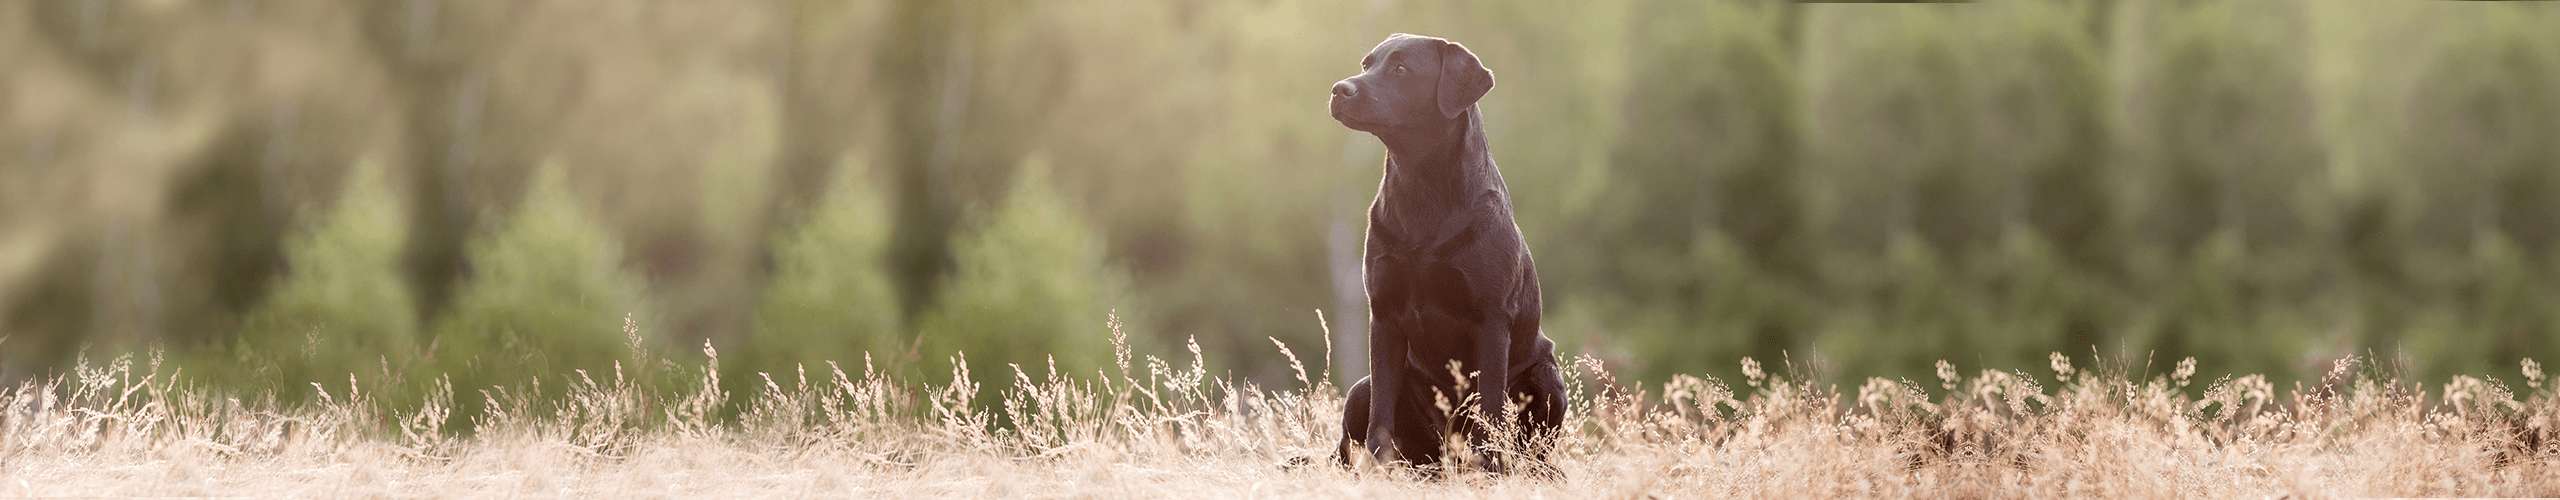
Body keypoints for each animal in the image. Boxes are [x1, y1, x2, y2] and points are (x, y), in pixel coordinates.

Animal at [1331, 33, 1566, 474]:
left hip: (1547, 377)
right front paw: (1378, 469)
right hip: (1359, 390)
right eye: (1367, 63)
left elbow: (1490, 408)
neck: (1422, 187)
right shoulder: (1383, 314)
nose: (1339, 89)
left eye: (1401, 69)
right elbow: (1380, 419)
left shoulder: (1491, 318)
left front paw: (1490, 468)